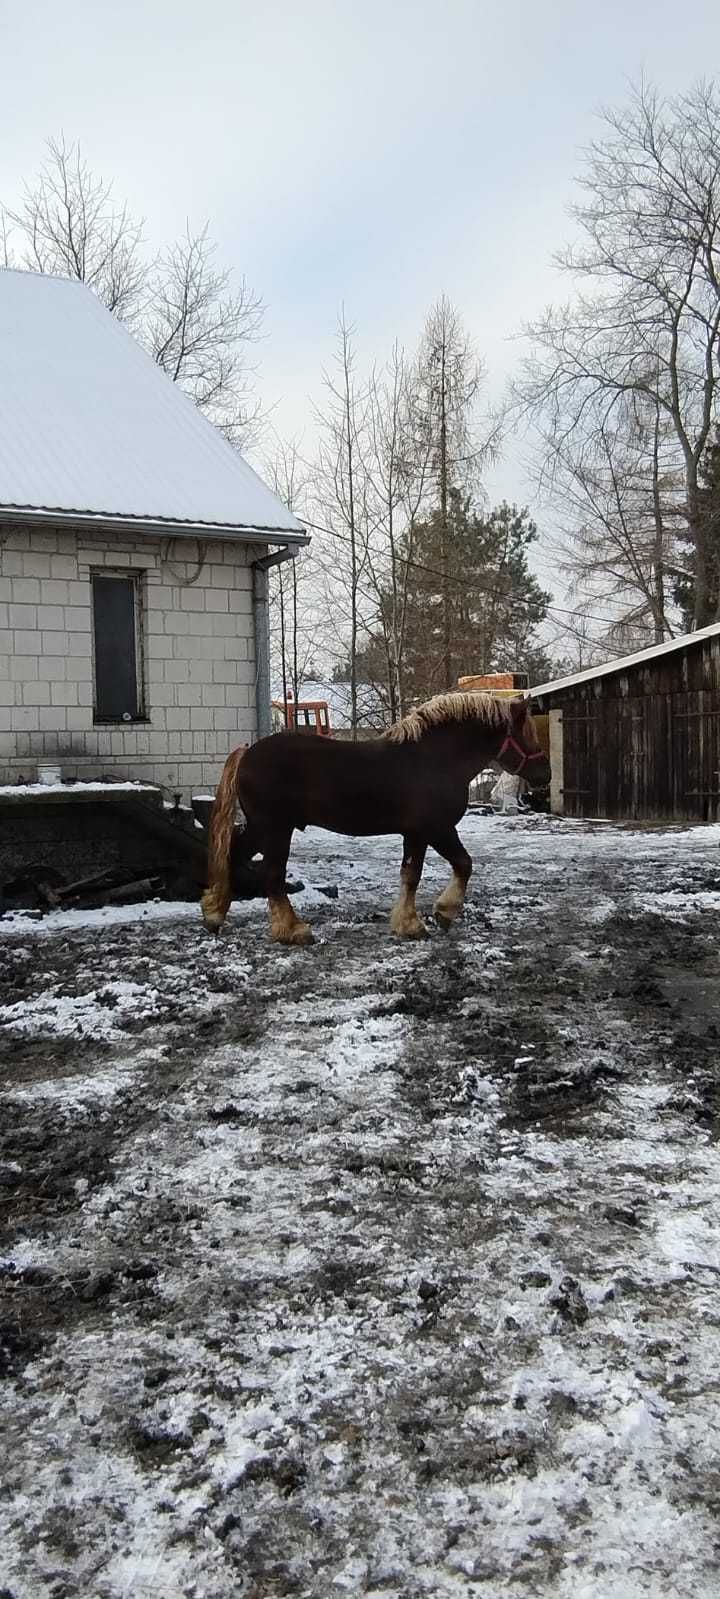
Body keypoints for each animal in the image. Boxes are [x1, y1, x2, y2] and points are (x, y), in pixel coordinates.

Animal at [200, 690, 547, 940]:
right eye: (527, 732)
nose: (545, 773)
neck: (436, 758)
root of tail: (248, 752)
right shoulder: (437, 828)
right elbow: (460, 864)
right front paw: (439, 915)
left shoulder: (417, 833)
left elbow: (411, 874)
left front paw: (411, 922)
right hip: (275, 829)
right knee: (271, 875)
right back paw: (293, 931)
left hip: (261, 828)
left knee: (234, 856)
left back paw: (215, 915)